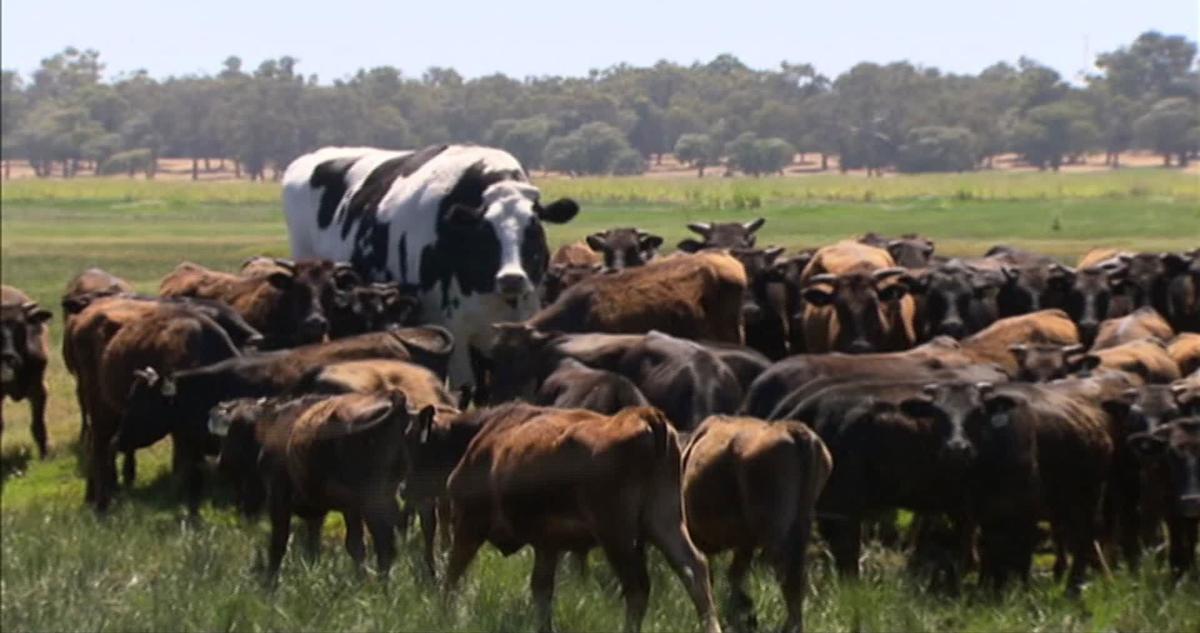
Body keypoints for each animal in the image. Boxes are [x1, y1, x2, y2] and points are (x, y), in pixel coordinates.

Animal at [208, 391, 430, 579]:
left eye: (235, 429)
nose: (221, 463)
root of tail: (395, 399)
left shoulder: (279, 497)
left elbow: (279, 543)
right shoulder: (341, 509)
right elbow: (339, 545)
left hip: (375, 500)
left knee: (385, 544)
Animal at [434, 403, 721, 633]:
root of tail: (645, 415)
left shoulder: (470, 525)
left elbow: (453, 574)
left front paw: (445, 616)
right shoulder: (547, 545)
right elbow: (541, 589)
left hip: (616, 536)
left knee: (638, 586)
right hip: (665, 523)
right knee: (693, 569)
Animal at [682, 416, 831, 633]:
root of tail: (794, 431)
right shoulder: (745, 543)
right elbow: (735, 573)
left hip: (776, 535)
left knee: (788, 575)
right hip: (800, 526)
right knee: (797, 577)